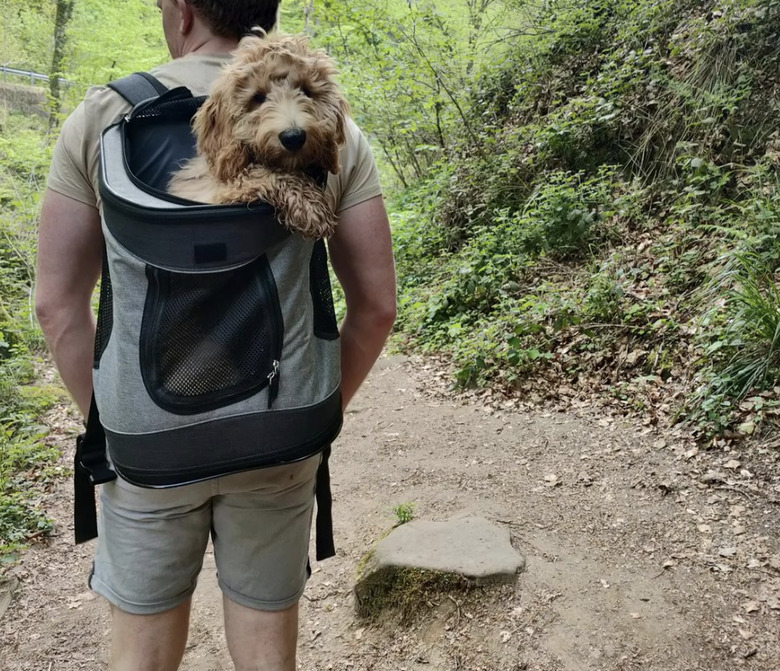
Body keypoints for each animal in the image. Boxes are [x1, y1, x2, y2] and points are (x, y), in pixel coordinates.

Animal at [172, 32, 352, 242]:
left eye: (306, 91)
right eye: (258, 97)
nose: (293, 137)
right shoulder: (217, 193)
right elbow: (262, 172)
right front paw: (310, 206)